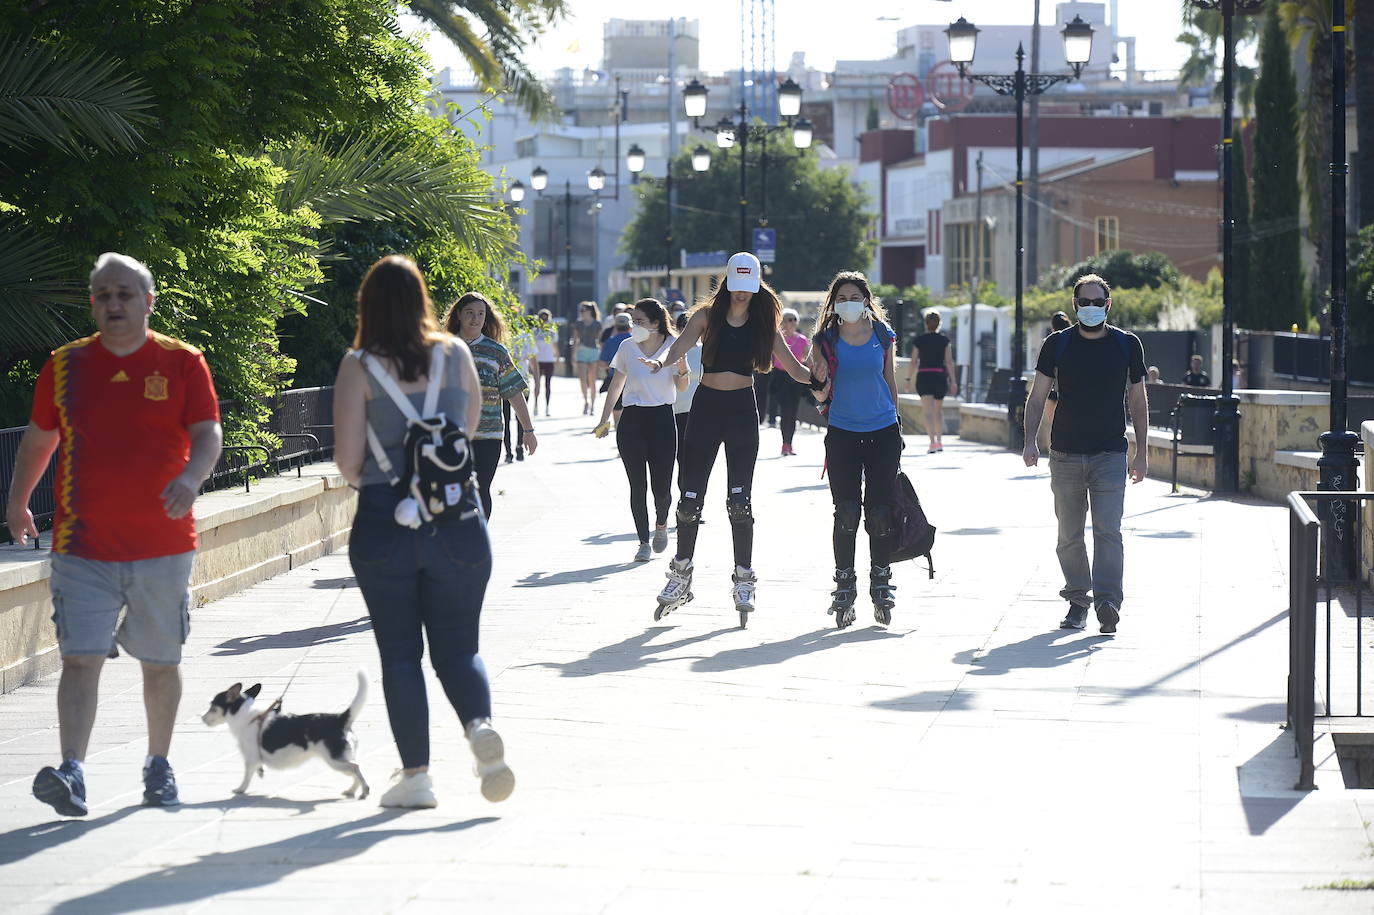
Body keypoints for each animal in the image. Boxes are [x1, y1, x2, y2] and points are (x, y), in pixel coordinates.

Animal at [199, 667, 370, 796]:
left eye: (212, 707)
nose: (202, 718)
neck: (245, 714)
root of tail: (340, 719)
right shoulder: (255, 759)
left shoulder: (251, 758)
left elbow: (246, 776)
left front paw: (240, 789)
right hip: (342, 759)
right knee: (356, 768)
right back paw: (351, 791)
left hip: (335, 761)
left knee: (355, 768)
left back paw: (364, 790)